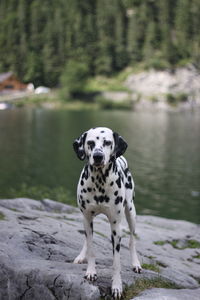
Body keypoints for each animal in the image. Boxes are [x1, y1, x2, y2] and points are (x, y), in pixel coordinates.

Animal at [73, 127, 141, 300]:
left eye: (108, 142)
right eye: (90, 143)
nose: (98, 156)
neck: (99, 182)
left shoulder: (116, 228)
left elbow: (116, 262)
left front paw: (117, 286)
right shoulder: (87, 218)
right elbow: (91, 248)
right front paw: (90, 271)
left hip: (131, 214)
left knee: (132, 241)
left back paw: (136, 263)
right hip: (85, 220)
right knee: (87, 238)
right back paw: (81, 256)